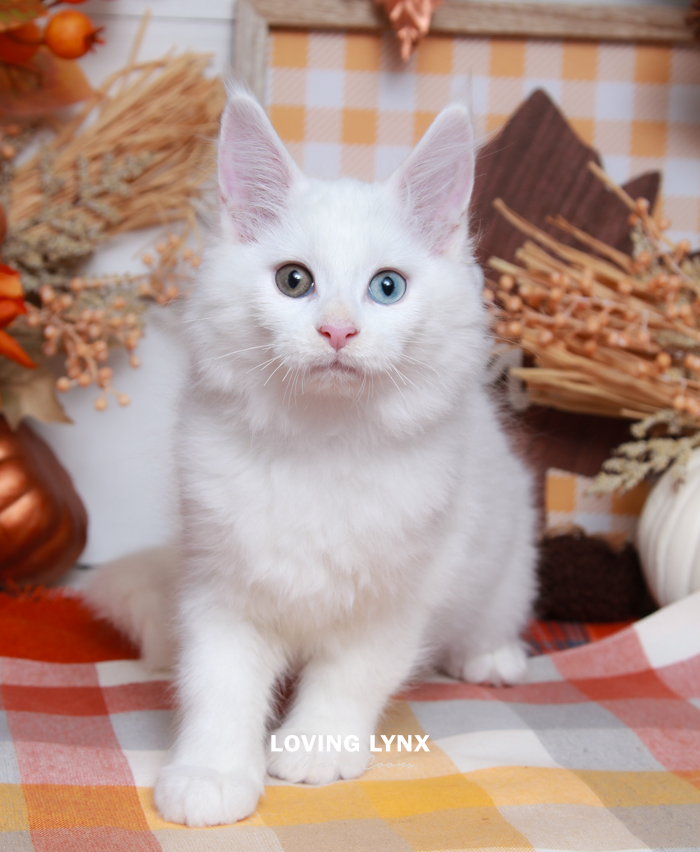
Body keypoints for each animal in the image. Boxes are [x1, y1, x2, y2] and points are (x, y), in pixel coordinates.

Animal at [82, 85, 537, 827]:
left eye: (387, 287)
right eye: (294, 281)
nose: (338, 331)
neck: (321, 443)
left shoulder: (397, 594)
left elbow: (350, 678)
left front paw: (313, 750)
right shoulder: (220, 584)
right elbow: (218, 687)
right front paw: (211, 775)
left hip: (507, 561)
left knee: (493, 613)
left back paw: (492, 658)